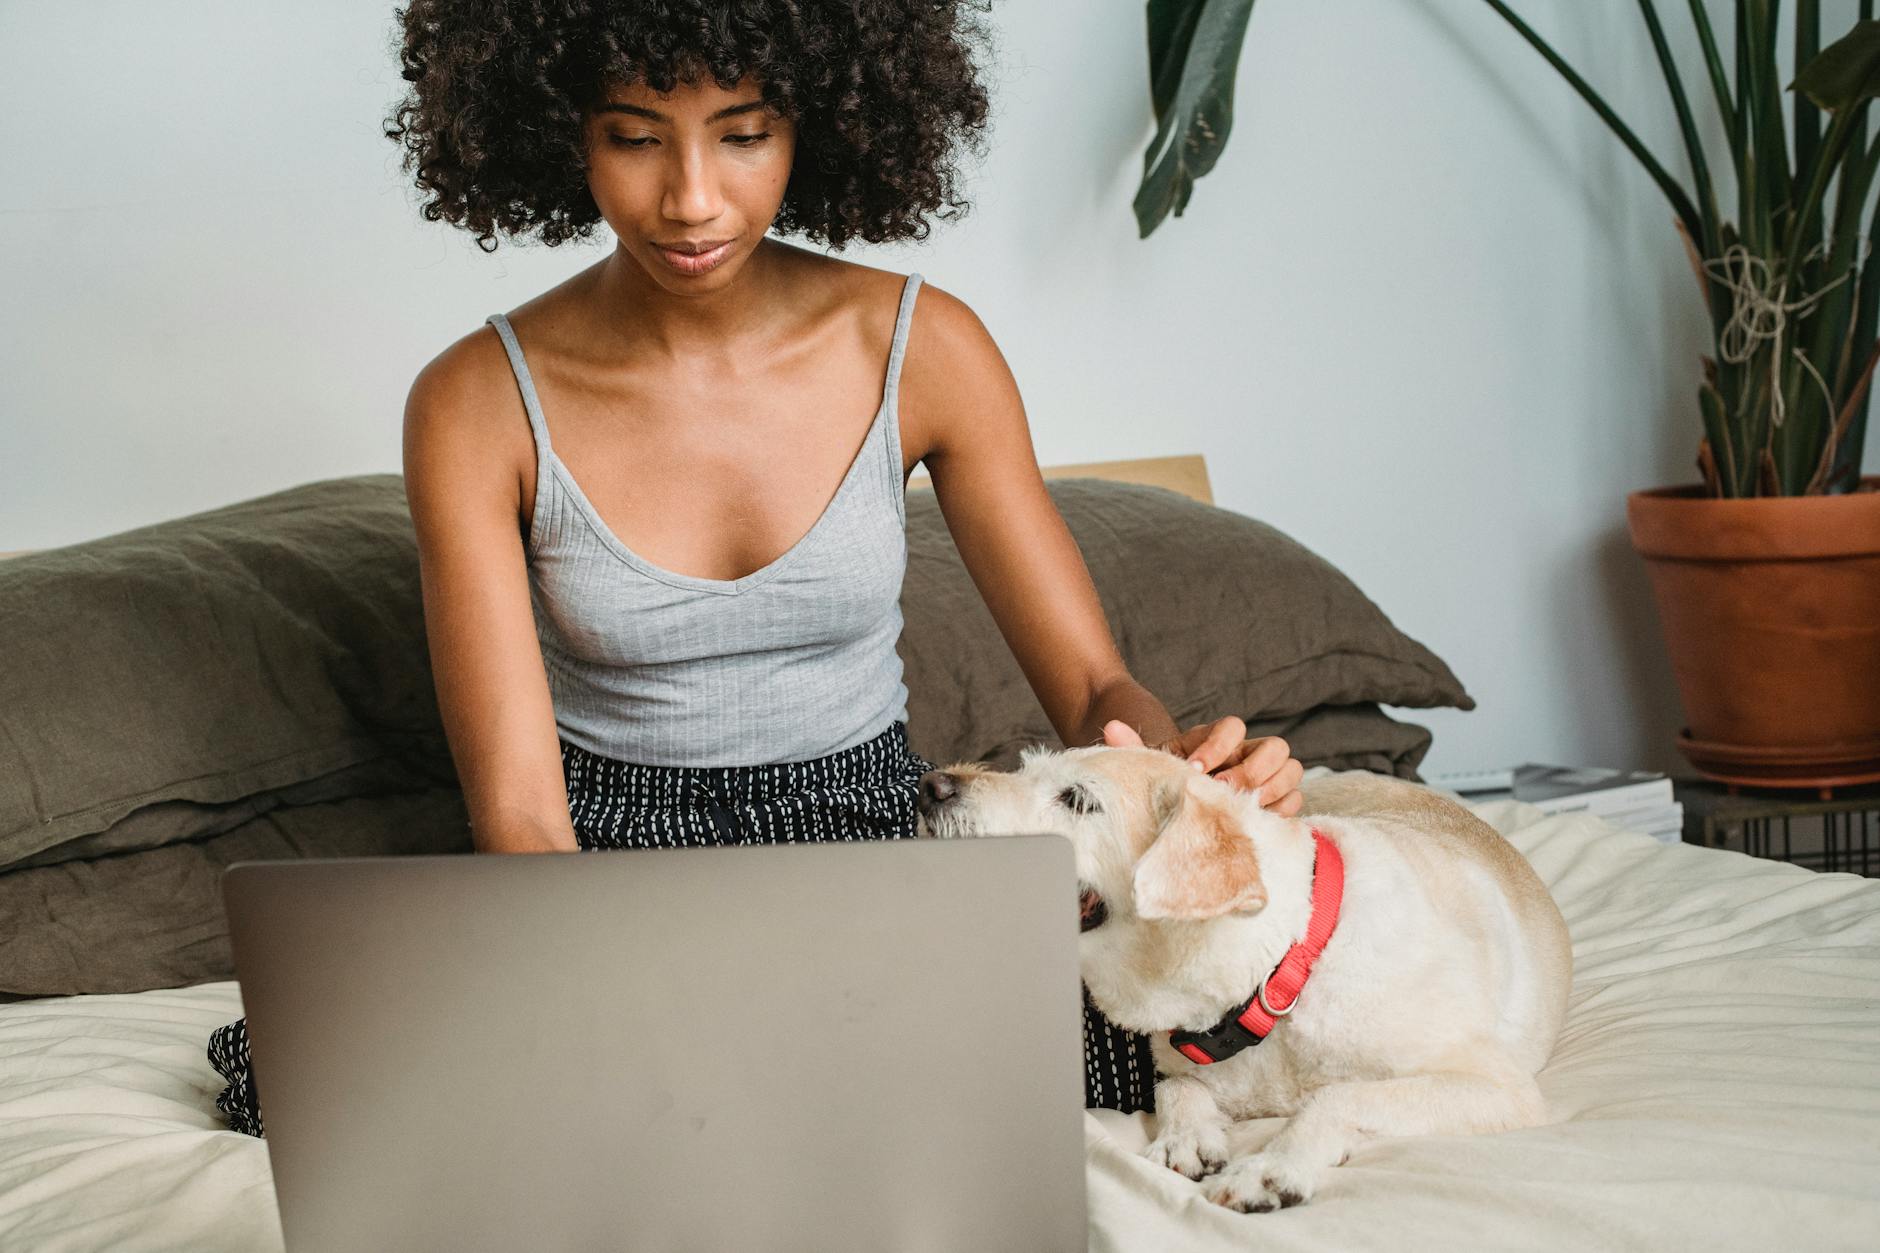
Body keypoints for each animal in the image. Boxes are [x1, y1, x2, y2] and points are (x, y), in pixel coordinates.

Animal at [909, 741, 1571, 1211]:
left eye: (1076, 799)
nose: (929, 787)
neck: (1277, 975)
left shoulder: (1499, 1087)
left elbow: (1339, 1096)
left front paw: (1271, 1168)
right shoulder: (1184, 1061)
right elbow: (1176, 1087)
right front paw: (1185, 1136)